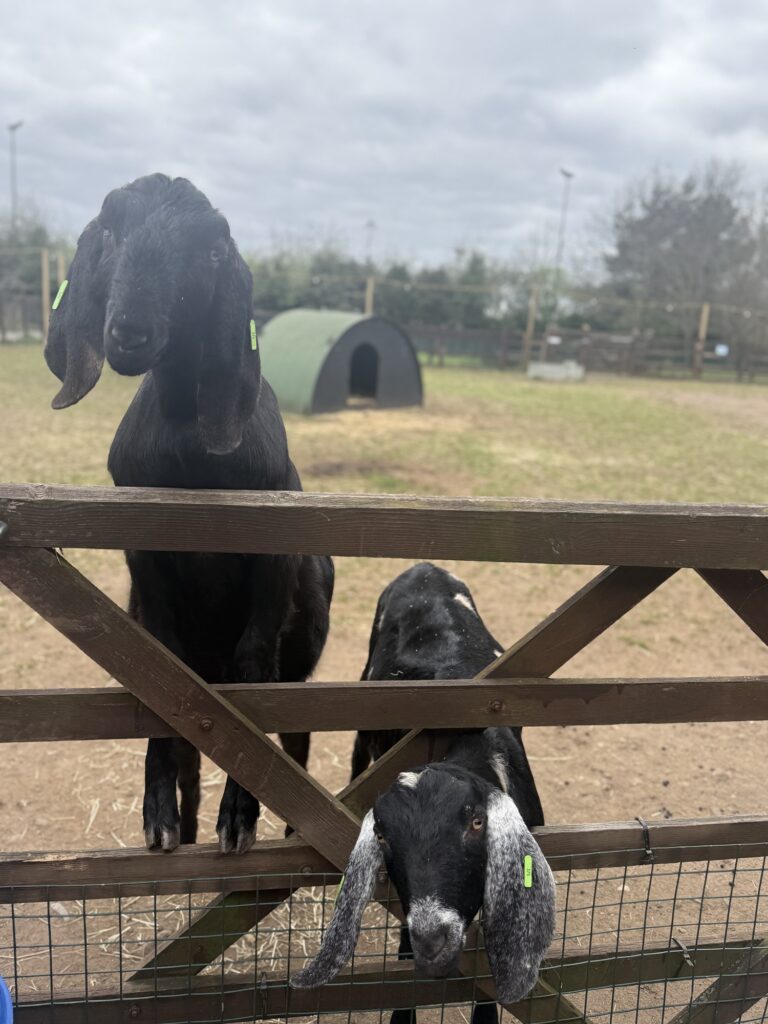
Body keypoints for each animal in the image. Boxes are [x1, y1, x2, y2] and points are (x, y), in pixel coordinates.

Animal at [44, 173, 334, 855]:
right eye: (111, 230)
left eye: (212, 251)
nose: (129, 332)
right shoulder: (144, 556)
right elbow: (161, 668)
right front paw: (161, 815)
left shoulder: (270, 558)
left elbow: (255, 666)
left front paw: (242, 815)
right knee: (196, 745)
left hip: (304, 657)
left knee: (297, 731)